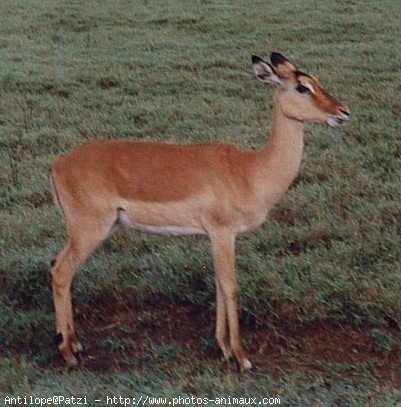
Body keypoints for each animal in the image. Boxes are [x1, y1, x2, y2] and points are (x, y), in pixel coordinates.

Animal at [50, 52, 348, 372]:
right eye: (302, 87)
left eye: (317, 80)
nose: (343, 112)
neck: (250, 171)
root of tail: (57, 165)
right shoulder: (223, 233)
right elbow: (230, 286)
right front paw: (242, 358)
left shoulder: (217, 237)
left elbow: (218, 284)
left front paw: (224, 349)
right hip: (89, 231)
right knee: (61, 272)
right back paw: (68, 353)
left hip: (90, 231)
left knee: (57, 267)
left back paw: (75, 344)